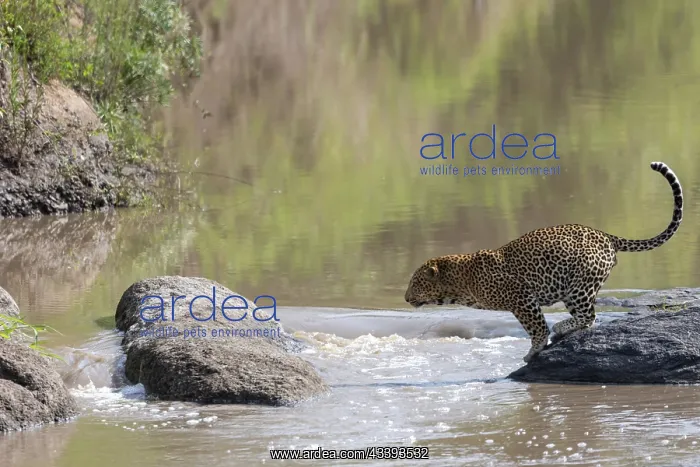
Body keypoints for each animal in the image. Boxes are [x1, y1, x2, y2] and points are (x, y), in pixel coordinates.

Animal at [404, 161, 683, 363]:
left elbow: (536, 327)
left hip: (580, 286)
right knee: (590, 318)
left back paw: (561, 326)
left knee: (589, 315)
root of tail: (605, 235)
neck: (461, 284)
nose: (405, 298)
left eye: (415, 282)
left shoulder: (522, 298)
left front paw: (535, 349)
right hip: (574, 290)